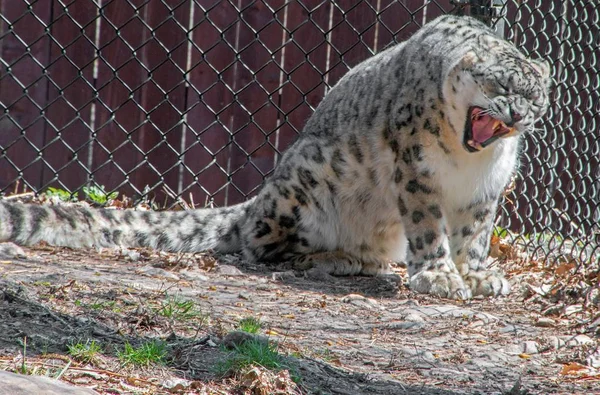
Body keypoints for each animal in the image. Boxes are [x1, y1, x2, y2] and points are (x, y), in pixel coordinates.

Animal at [0, 15, 552, 300]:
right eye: (499, 85)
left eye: (536, 97)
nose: (517, 114)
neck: (465, 161)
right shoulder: (416, 171)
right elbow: (429, 229)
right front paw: (439, 275)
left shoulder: (484, 191)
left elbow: (474, 235)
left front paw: (477, 275)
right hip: (310, 180)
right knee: (260, 243)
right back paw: (335, 258)